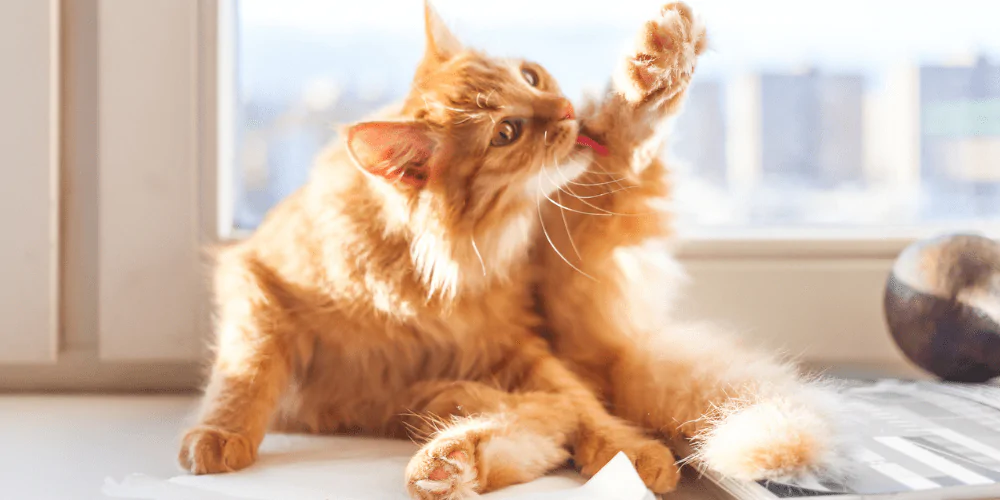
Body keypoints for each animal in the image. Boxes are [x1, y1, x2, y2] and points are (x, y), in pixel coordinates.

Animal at [178, 1, 844, 498]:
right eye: (506, 132)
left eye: (530, 77)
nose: (568, 112)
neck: (421, 273)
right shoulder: (259, 283)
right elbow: (246, 373)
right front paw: (219, 435)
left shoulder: (517, 345)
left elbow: (584, 409)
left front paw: (628, 452)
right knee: (533, 426)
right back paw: (450, 457)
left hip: (574, 249)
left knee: (627, 151)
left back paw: (655, 66)